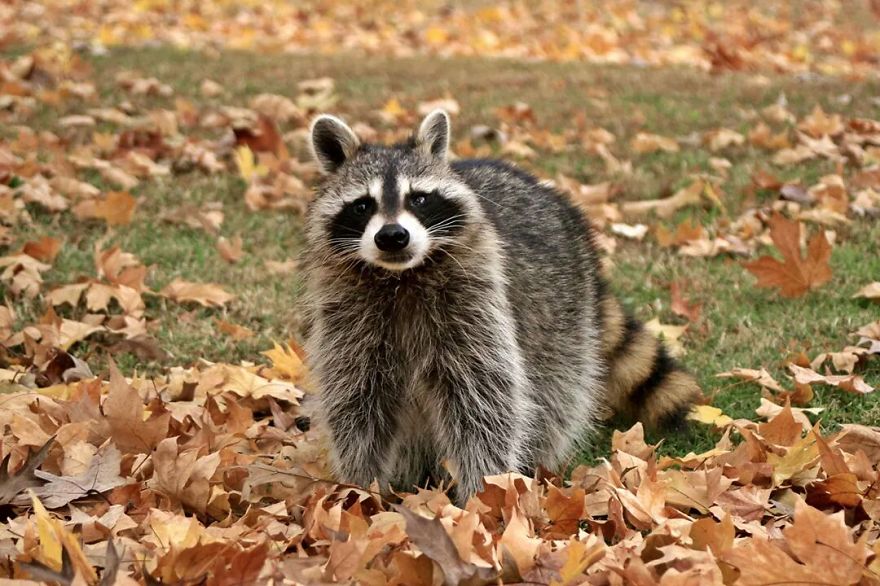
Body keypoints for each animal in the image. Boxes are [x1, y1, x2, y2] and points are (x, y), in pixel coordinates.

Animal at [302, 110, 700, 503]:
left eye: (419, 199)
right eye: (362, 205)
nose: (393, 237)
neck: (401, 277)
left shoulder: (477, 303)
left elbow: (485, 401)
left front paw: (482, 494)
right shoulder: (349, 316)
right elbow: (356, 401)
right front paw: (361, 486)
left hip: (565, 316)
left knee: (554, 393)